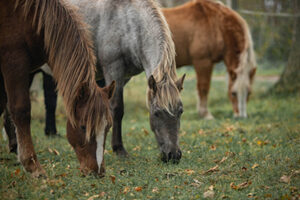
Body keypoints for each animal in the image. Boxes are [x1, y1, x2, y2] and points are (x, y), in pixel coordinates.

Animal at [0, 0, 115, 177]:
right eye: (83, 127)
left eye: (108, 127)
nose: (97, 171)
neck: (30, 19)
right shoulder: (14, 64)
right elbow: (21, 110)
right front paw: (33, 166)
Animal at [70, 0, 186, 162]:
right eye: (156, 113)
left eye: (180, 111)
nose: (173, 155)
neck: (128, 21)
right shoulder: (113, 69)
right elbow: (117, 108)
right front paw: (118, 148)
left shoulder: (124, 77)